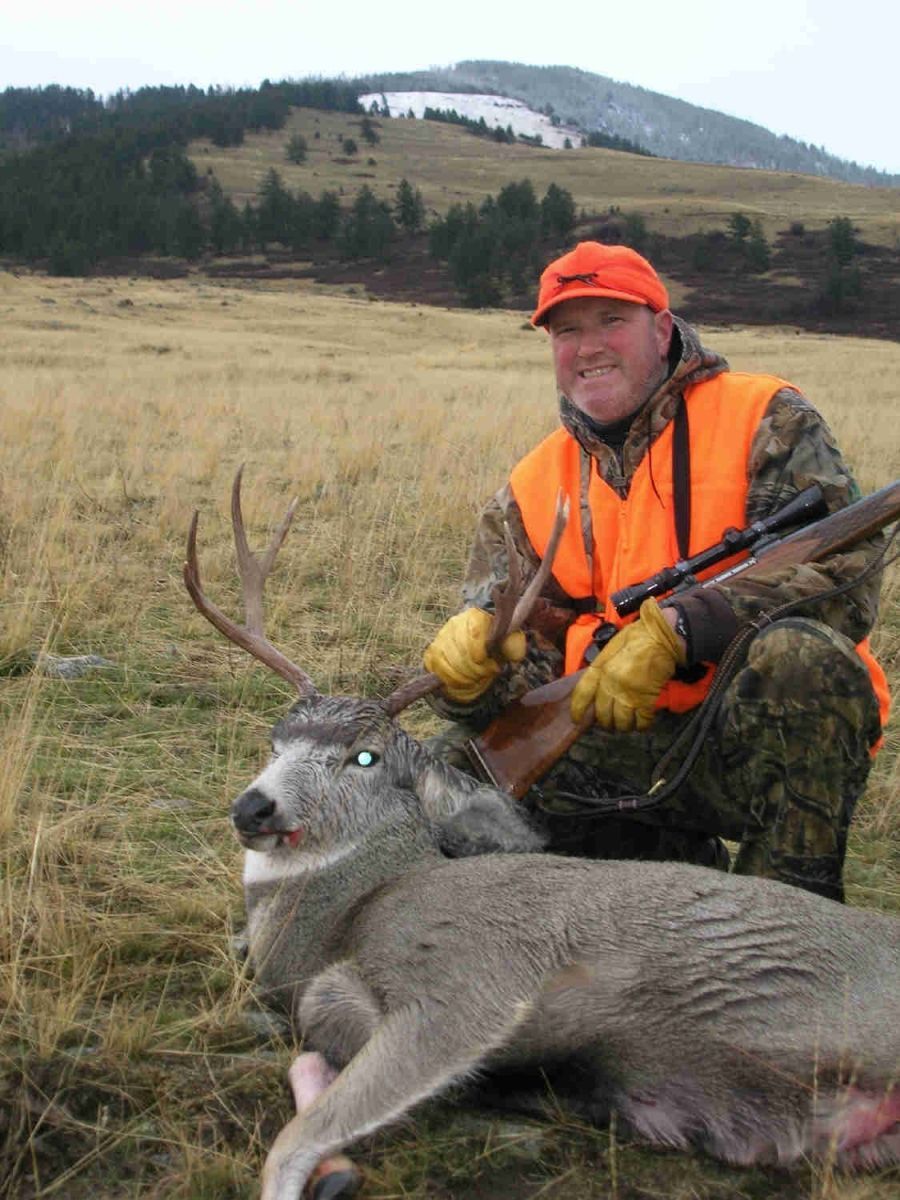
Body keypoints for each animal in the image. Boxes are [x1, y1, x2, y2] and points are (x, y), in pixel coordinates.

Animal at [184, 470, 900, 1200]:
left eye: (365, 757)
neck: (355, 907)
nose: (254, 808)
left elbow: (297, 1124)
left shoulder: (471, 973)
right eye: (275, 741)